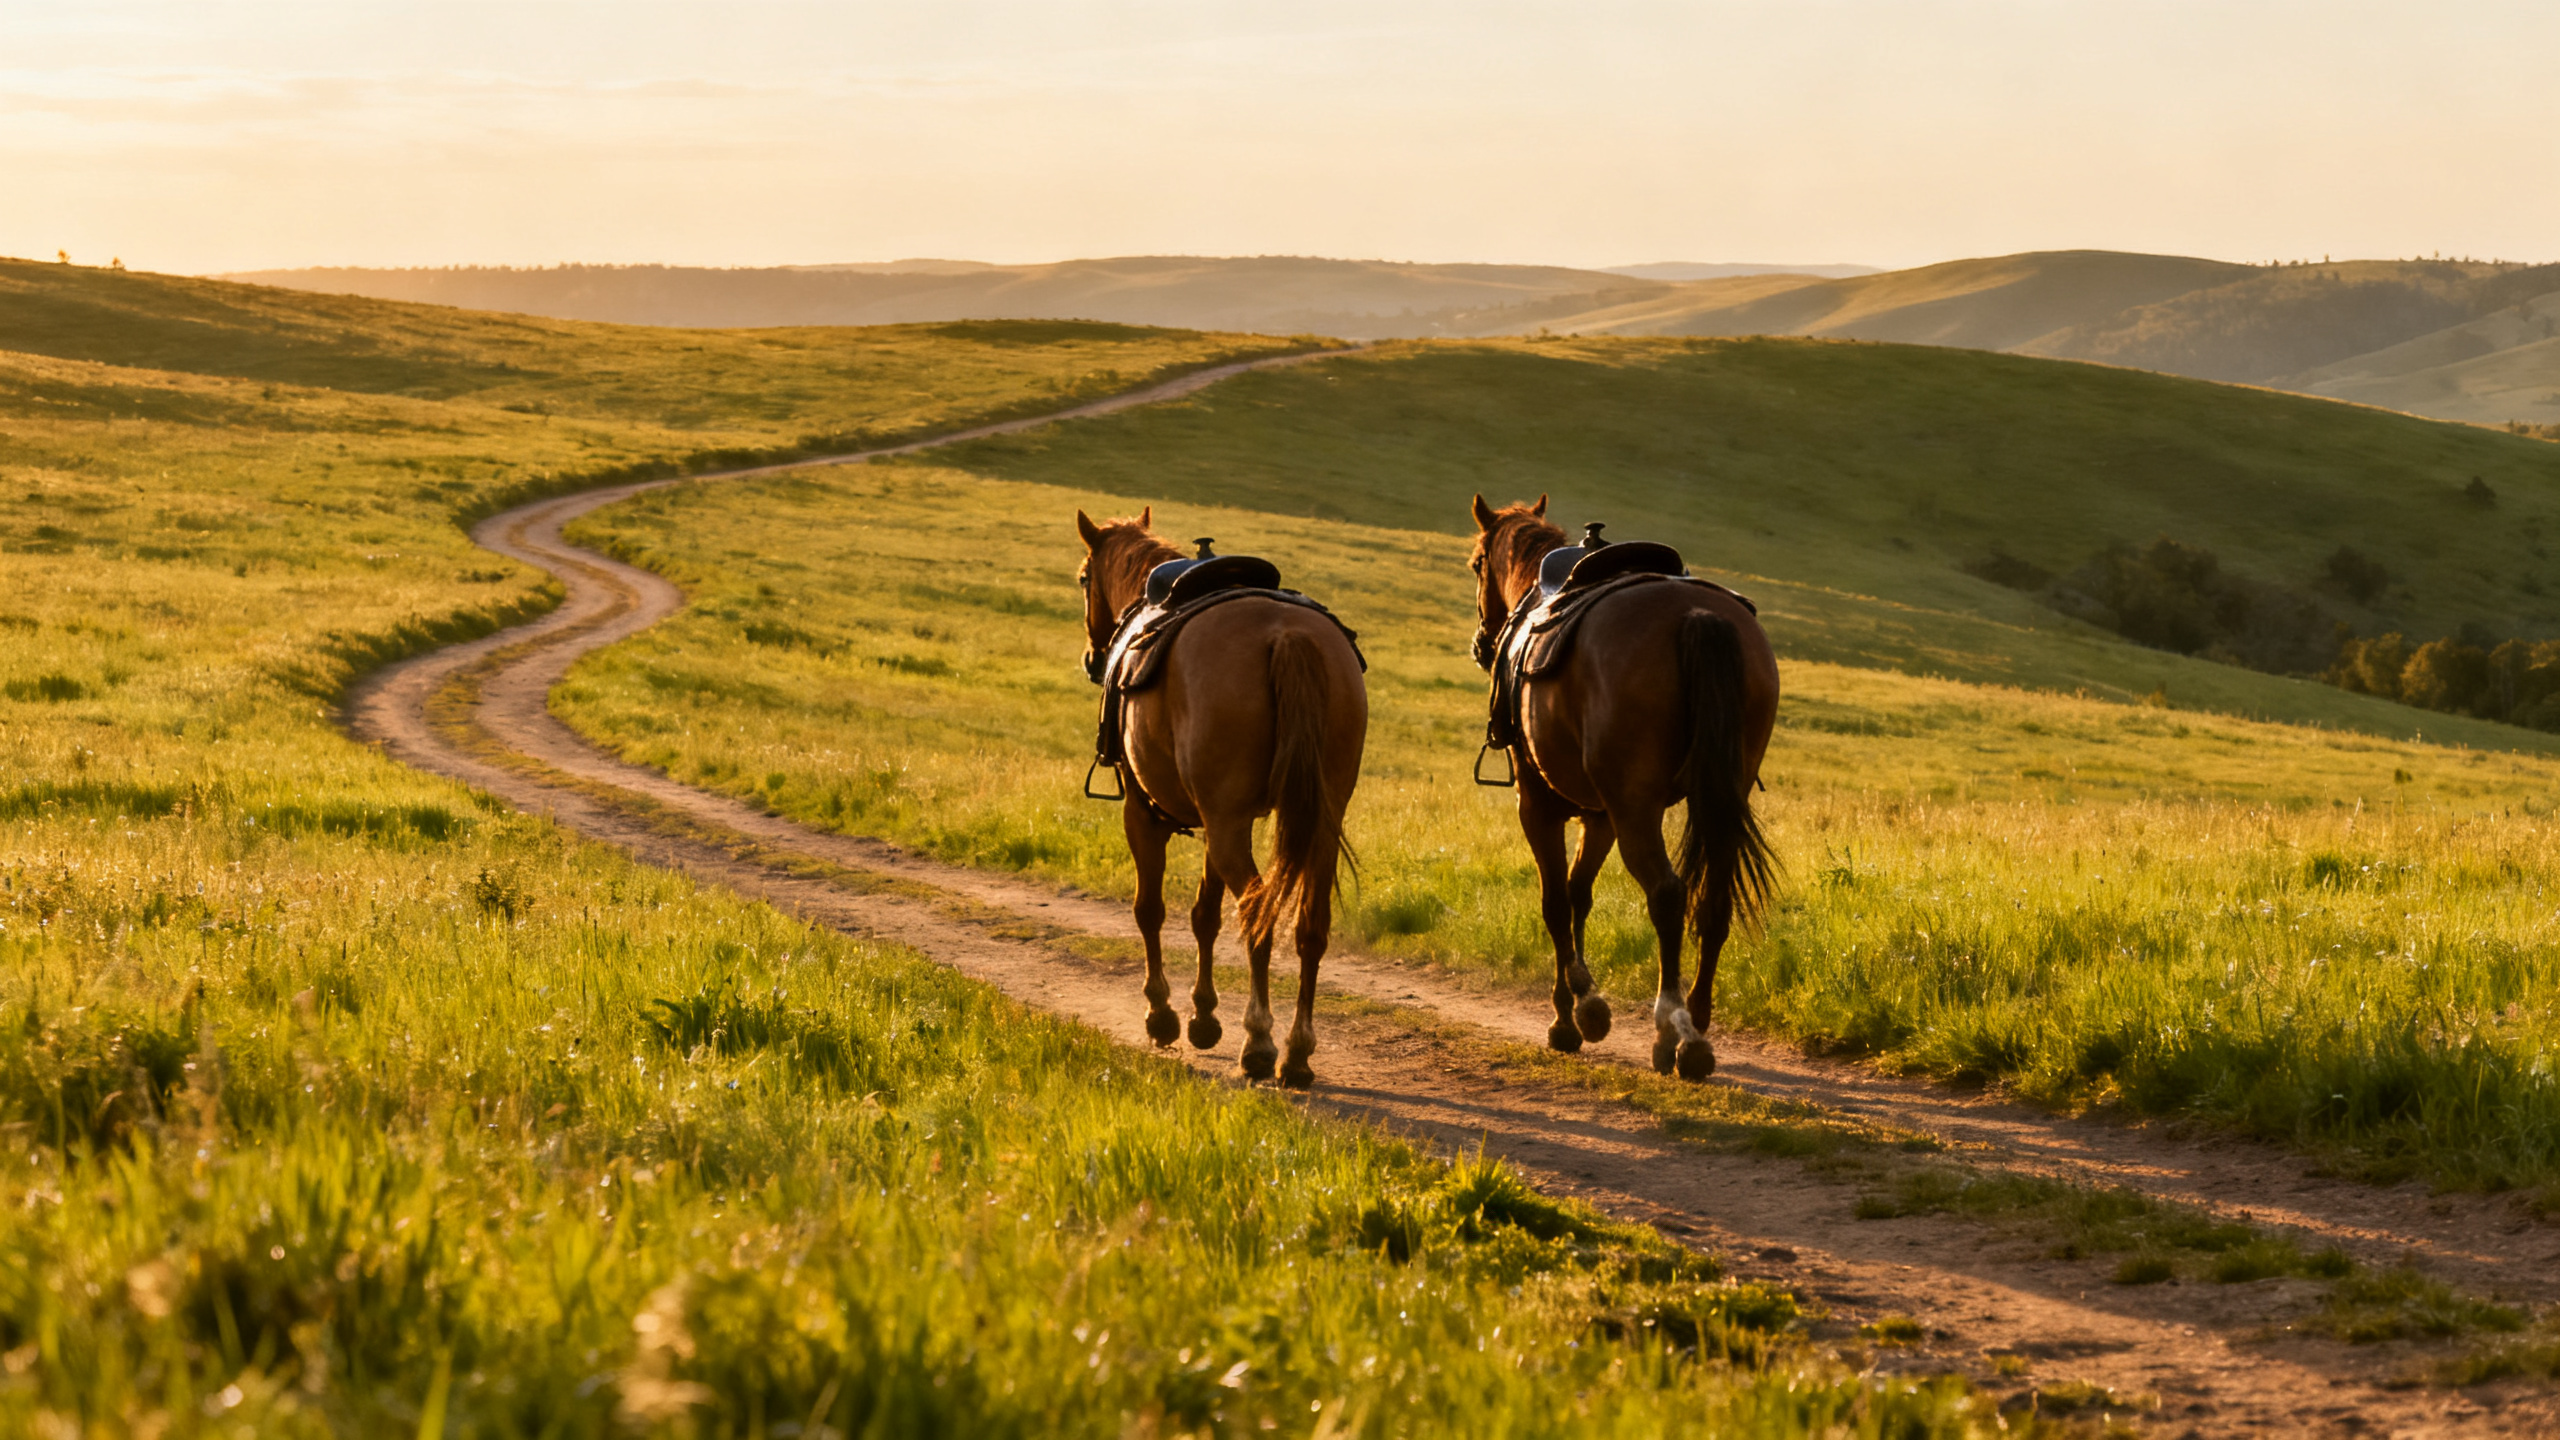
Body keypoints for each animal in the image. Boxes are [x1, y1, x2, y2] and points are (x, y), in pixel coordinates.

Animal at [1075, 507, 1367, 1088]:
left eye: (1082, 579)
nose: (1093, 658)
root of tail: (1288, 635)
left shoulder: (1143, 815)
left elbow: (1151, 910)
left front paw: (1163, 1015)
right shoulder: (1217, 823)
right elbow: (1204, 916)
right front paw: (1204, 1017)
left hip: (1228, 828)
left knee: (1257, 913)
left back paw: (1259, 1043)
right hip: (1313, 825)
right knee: (1309, 927)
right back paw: (1297, 1053)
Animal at [1466, 494, 1778, 1080]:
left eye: (1476, 564)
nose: (1480, 643)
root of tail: (1695, 615)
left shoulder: (1539, 806)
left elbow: (1555, 902)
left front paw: (1573, 1014)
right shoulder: (1599, 813)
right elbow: (1578, 893)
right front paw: (1580, 1007)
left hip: (1636, 809)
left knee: (1667, 894)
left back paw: (1674, 1028)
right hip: (1711, 797)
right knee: (1713, 901)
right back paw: (1697, 1024)